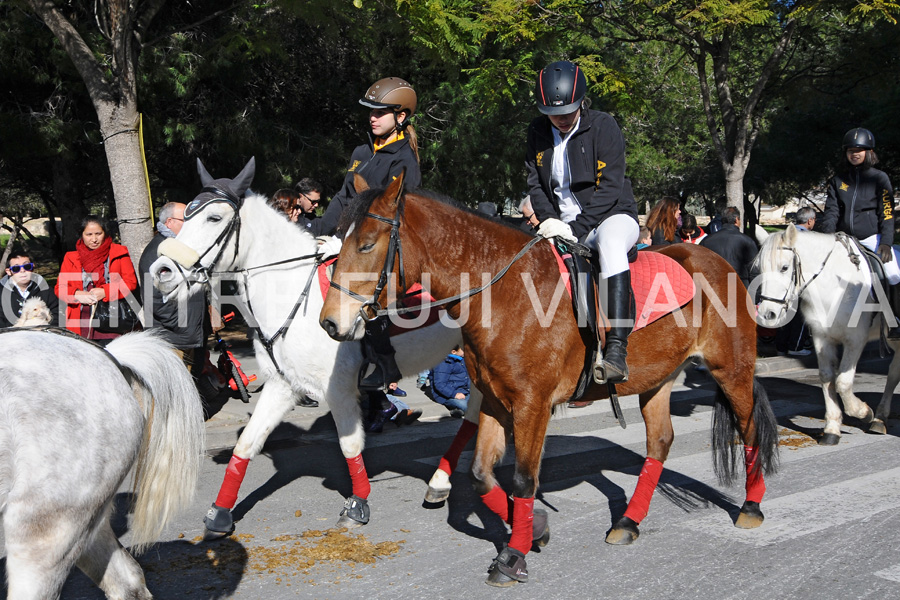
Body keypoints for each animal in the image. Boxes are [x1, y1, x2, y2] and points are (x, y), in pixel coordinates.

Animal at [151, 159, 482, 540]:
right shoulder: (283, 385)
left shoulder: (338, 389)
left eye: (214, 218)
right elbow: (246, 444)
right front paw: (219, 514)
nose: (161, 271)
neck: (292, 293)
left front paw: (357, 504)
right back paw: (443, 481)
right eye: (186, 216)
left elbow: (350, 445)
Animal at [322, 173, 780, 584]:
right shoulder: (494, 399)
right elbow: (482, 474)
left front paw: (513, 555)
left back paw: (751, 508)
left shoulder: (532, 405)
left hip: (731, 371)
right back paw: (629, 521)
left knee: (749, 430)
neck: (504, 290)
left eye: (367, 244)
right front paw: (535, 530)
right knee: (660, 443)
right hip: (657, 380)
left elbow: (524, 479)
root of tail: (716, 260)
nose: (329, 323)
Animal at [756, 225, 896, 440]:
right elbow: (826, 376)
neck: (834, 286)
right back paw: (880, 419)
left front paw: (864, 412)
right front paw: (832, 428)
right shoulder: (822, 338)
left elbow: (842, 383)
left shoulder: (855, 340)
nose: (767, 314)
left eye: (784, 268)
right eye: (760, 269)